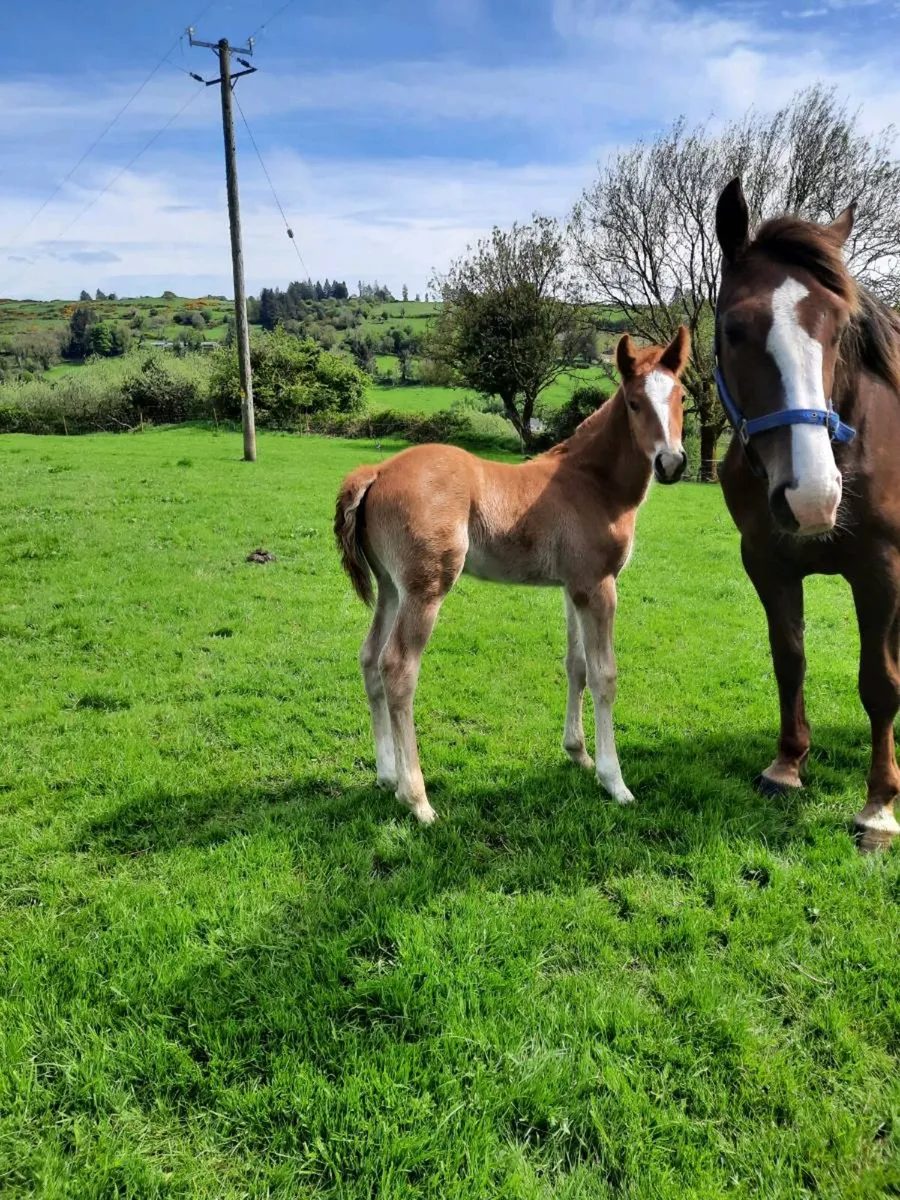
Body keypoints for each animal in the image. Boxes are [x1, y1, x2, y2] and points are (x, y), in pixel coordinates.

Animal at [335, 328, 691, 823]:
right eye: (635, 402)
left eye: (681, 396)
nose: (671, 463)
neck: (593, 483)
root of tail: (378, 470)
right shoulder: (600, 587)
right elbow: (605, 676)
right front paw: (614, 781)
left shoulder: (573, 589)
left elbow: (576, 666)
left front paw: (578, 753)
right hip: (425, 591)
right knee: (398, 669)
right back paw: (417, 799)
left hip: (391, 589)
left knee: (370, 657)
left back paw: (387, 776)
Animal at [714, 177, 900, 851]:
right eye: (734, 329)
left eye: (842, 329)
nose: (812, 497)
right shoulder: (767, 563)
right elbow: (789, 658)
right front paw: (787, 765)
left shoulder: (882, 571)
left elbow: (880, 683)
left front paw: (878, 808)